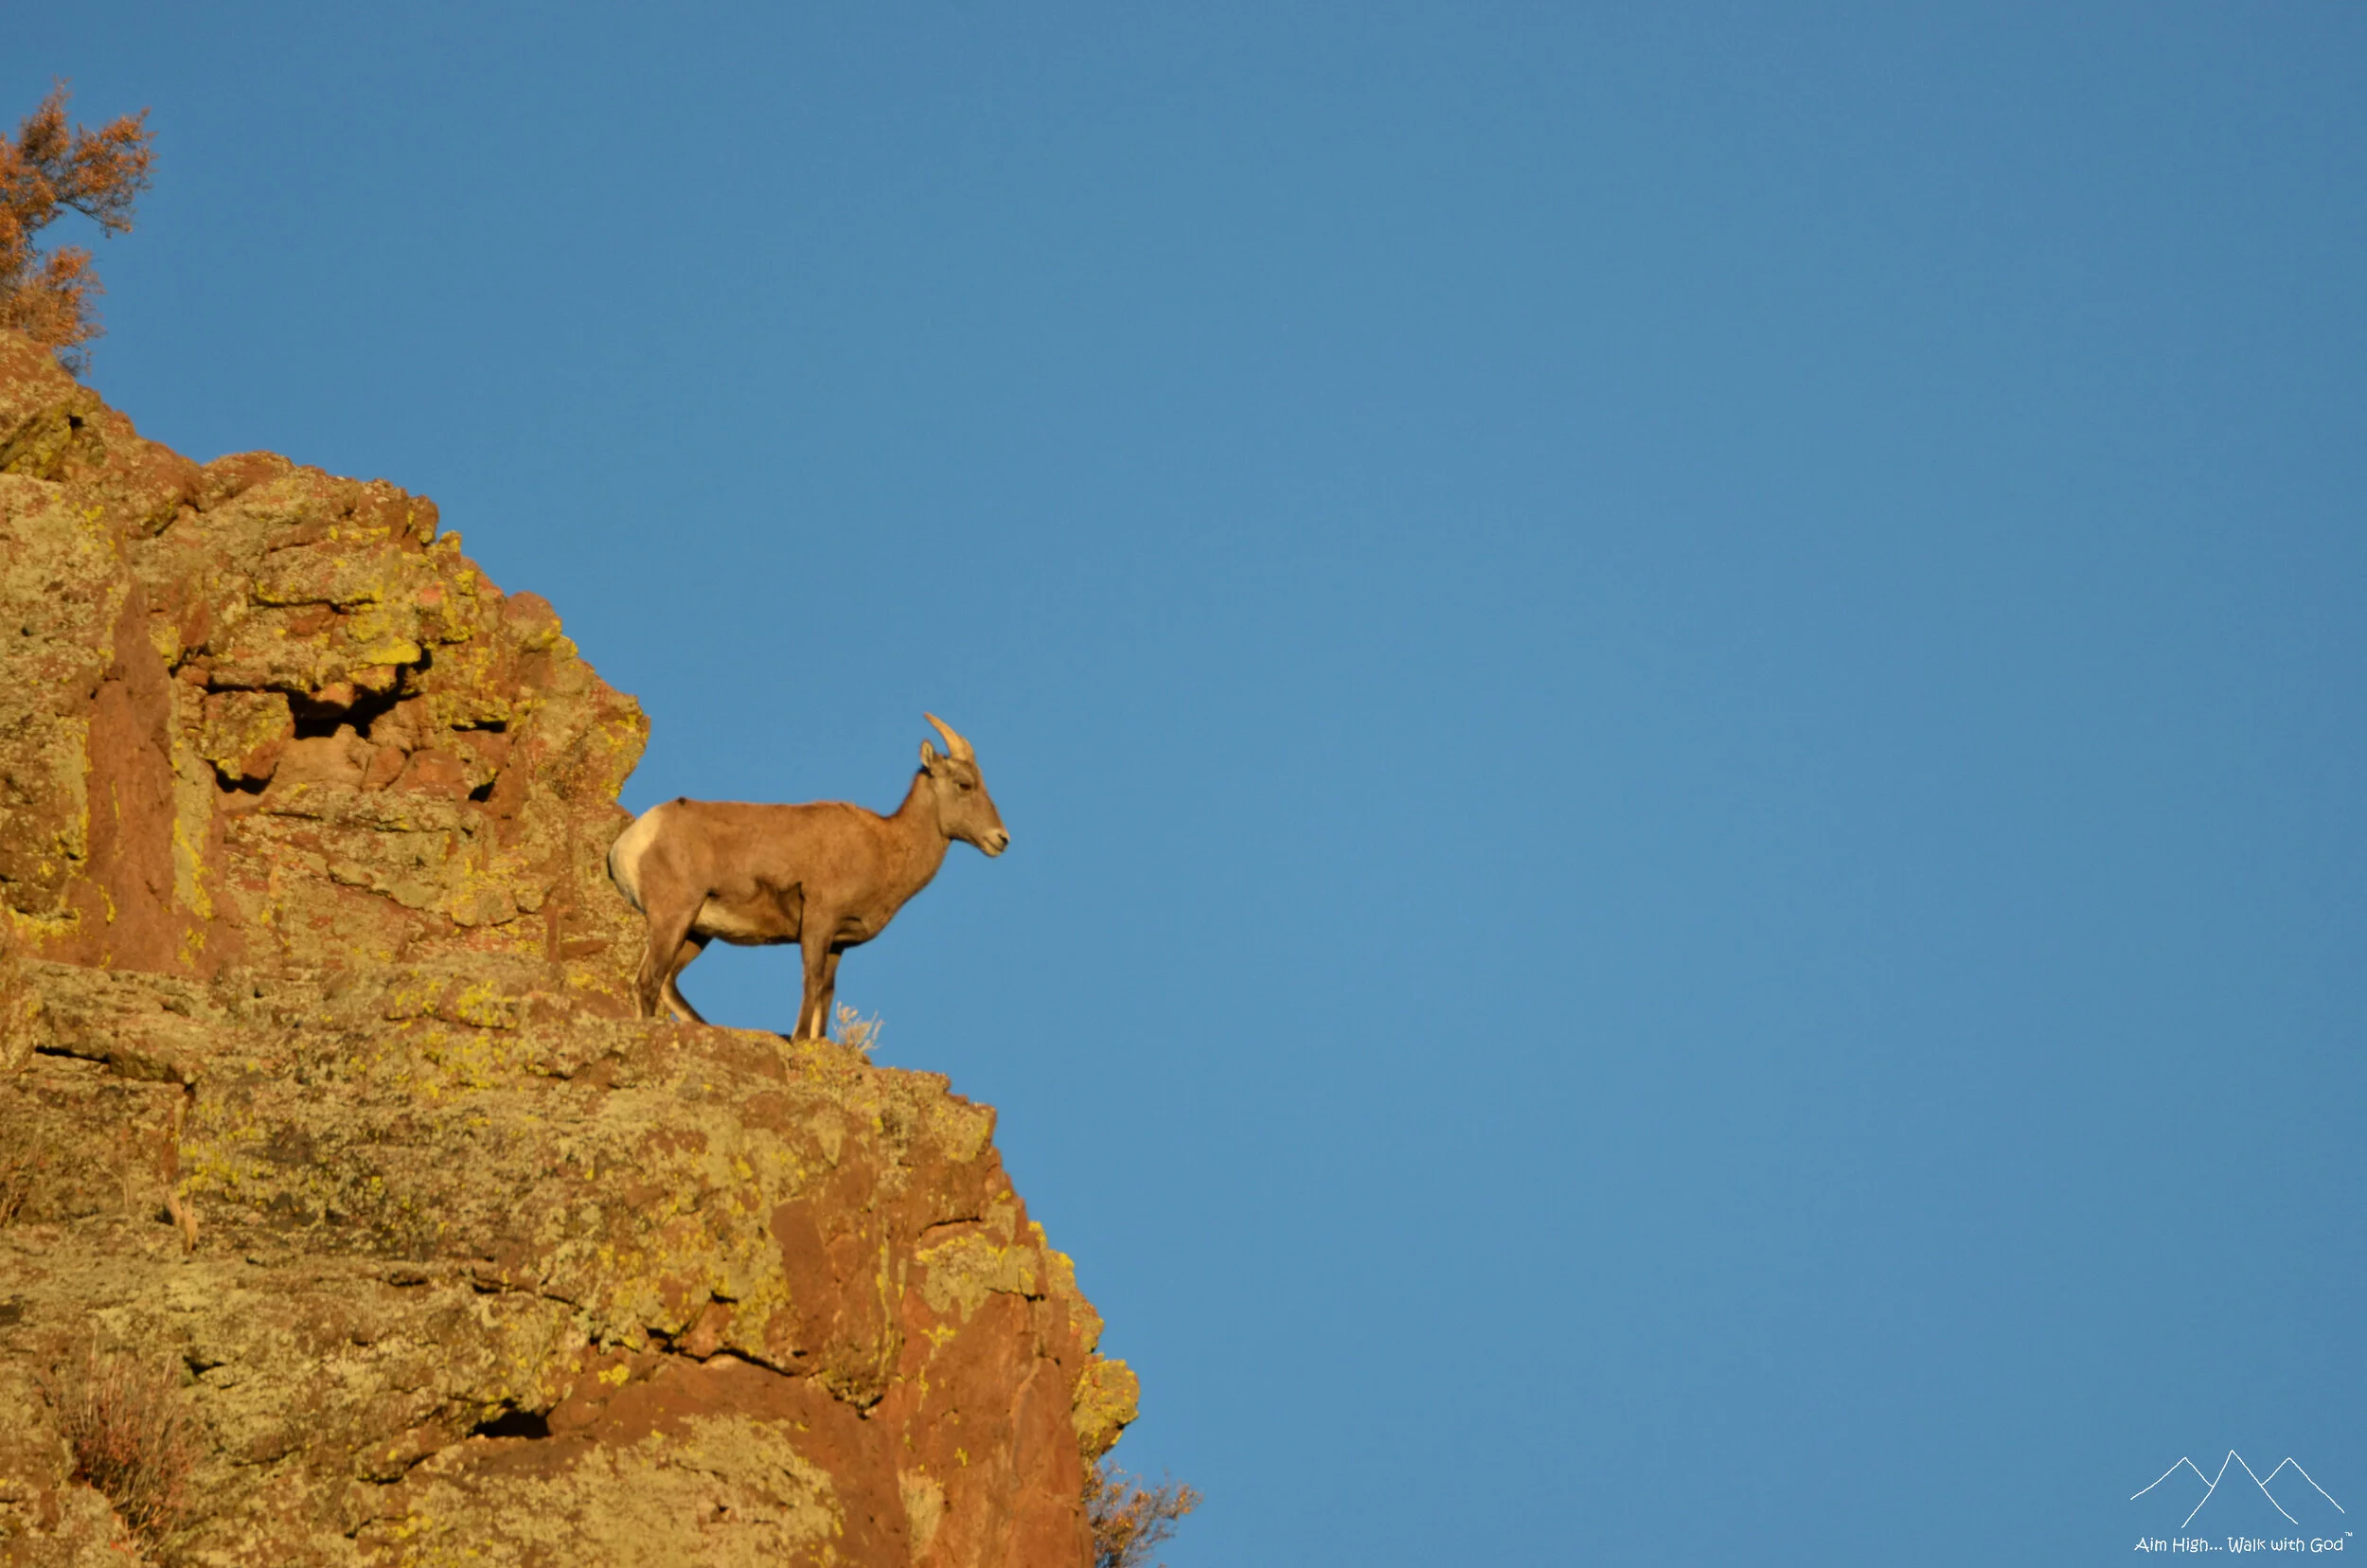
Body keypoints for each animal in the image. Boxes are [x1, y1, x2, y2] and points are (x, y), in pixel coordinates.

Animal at [605, 714, 1010, 1038]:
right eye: (964, 784)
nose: (1001, 839)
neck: (884, 845)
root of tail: (630, 841)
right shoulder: (818, 923)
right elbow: (811, 982)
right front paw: (799, 1040)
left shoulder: (837, 944)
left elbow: (826, 994)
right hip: (674, 918)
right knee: (648, 983)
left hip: (696, 932)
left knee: (667, 984)